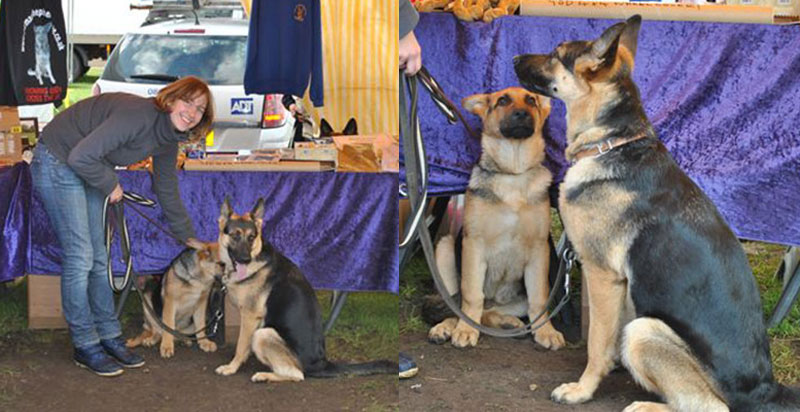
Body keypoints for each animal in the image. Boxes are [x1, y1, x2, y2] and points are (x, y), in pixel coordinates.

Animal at [216, 198, 396, 382]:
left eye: (251, 237)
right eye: (235, 235)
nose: (245, 260)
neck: (256, 257)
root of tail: (322, 363)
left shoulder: (250, 316)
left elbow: (241, 345)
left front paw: (232, 367)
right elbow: (245, 345)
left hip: (263, 334)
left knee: (297, 374)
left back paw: (265, 375)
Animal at [428, 87, 564, 350]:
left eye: (531, 100)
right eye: (502, 101)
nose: (522, 113)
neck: (513, 173)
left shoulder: (539, 250)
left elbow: (539, 299)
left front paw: (546, 331)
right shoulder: (473, 245)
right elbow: (472, 296)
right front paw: (465, 330)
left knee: (488, 312)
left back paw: (508, 323)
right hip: (445, 248)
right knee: (460, 305)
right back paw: (446, 327)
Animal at [516, 14, 796, 410]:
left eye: (556, 54)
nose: (514, 59)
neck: (611, 142)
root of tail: (764, 391)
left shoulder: (602, 276)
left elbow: (597, 343)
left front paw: (583, 389)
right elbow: (606, 340)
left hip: (644, 329)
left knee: (711, 405)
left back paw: (647, 404)